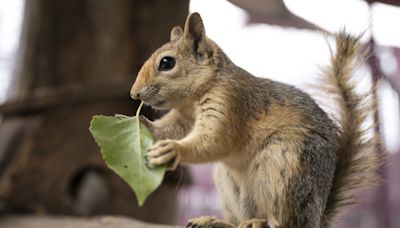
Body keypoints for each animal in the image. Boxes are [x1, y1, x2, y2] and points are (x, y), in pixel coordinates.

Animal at [130, 13, 382, 228]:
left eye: (166, 63)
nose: (135, 94)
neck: (193, 99)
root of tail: (317, 219)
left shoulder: (232, 103)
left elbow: (215, 141)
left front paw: (173, 150)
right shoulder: (184, 118)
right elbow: (171, 129)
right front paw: (139, 123)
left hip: (282, 165)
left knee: (283, 221)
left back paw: (259, 222)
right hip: (229, 184)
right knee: (238, 220)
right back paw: (215, 221)